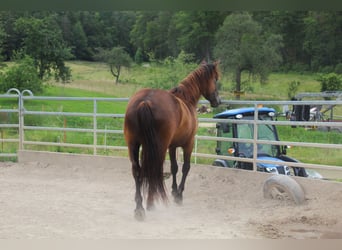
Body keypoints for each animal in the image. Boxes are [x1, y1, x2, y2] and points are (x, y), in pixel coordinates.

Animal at [124, 61, 220, 221]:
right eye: (215, 79)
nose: (218, 101)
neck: (186, 100)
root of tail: (145, 102)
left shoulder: (172, 146)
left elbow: (174, 167)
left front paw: (174, 191)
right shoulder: (188, 143)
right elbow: (185, 167)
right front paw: (179, 195)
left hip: (134, 145)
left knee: (138, 171)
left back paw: (139, 208)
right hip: (159, 147)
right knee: (155, 170)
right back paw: (150, 203)